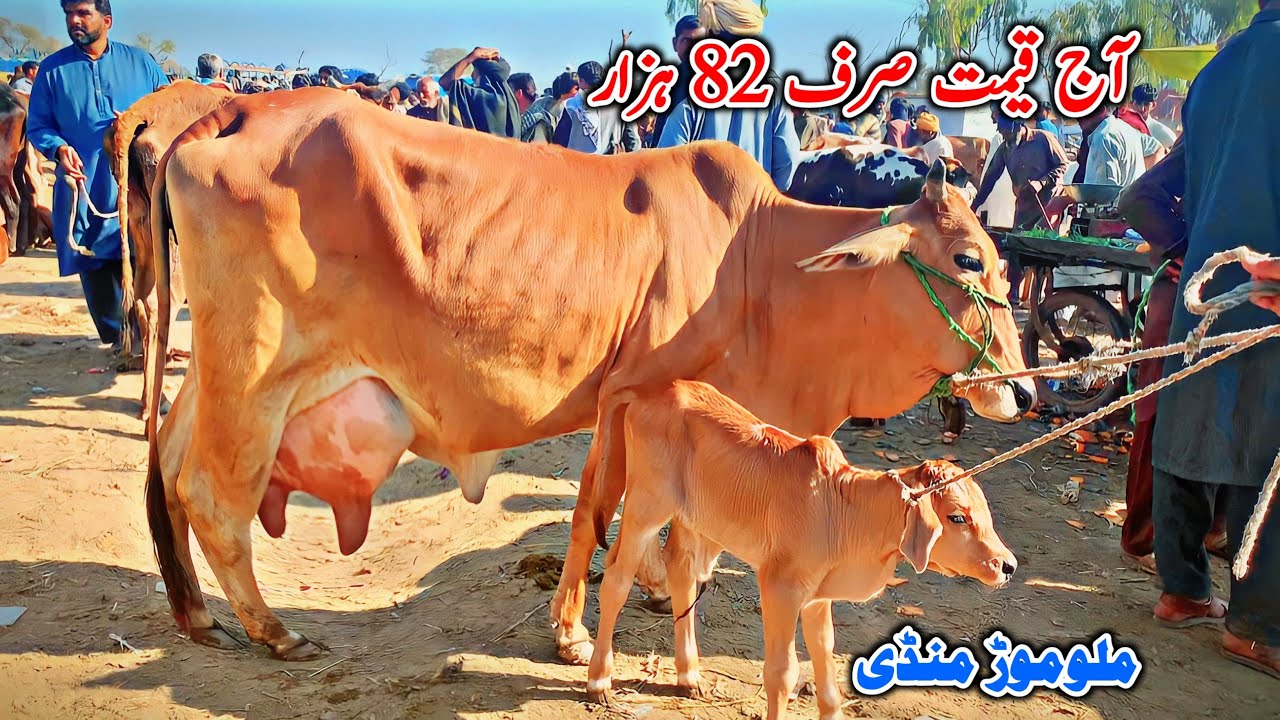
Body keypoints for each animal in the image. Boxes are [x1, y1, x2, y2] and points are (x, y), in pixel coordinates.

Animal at [584, 381, 1016, 718]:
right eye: (957, 517)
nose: (1007, 565)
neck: (843, 507)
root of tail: (647, 392)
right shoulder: (779, 587)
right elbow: (782, 674)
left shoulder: (817, 598)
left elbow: (826, 671)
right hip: (646, 506)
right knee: (617, 578)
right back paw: (599, 681)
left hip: (695, 521)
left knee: (682, 572)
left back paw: (689, 676)